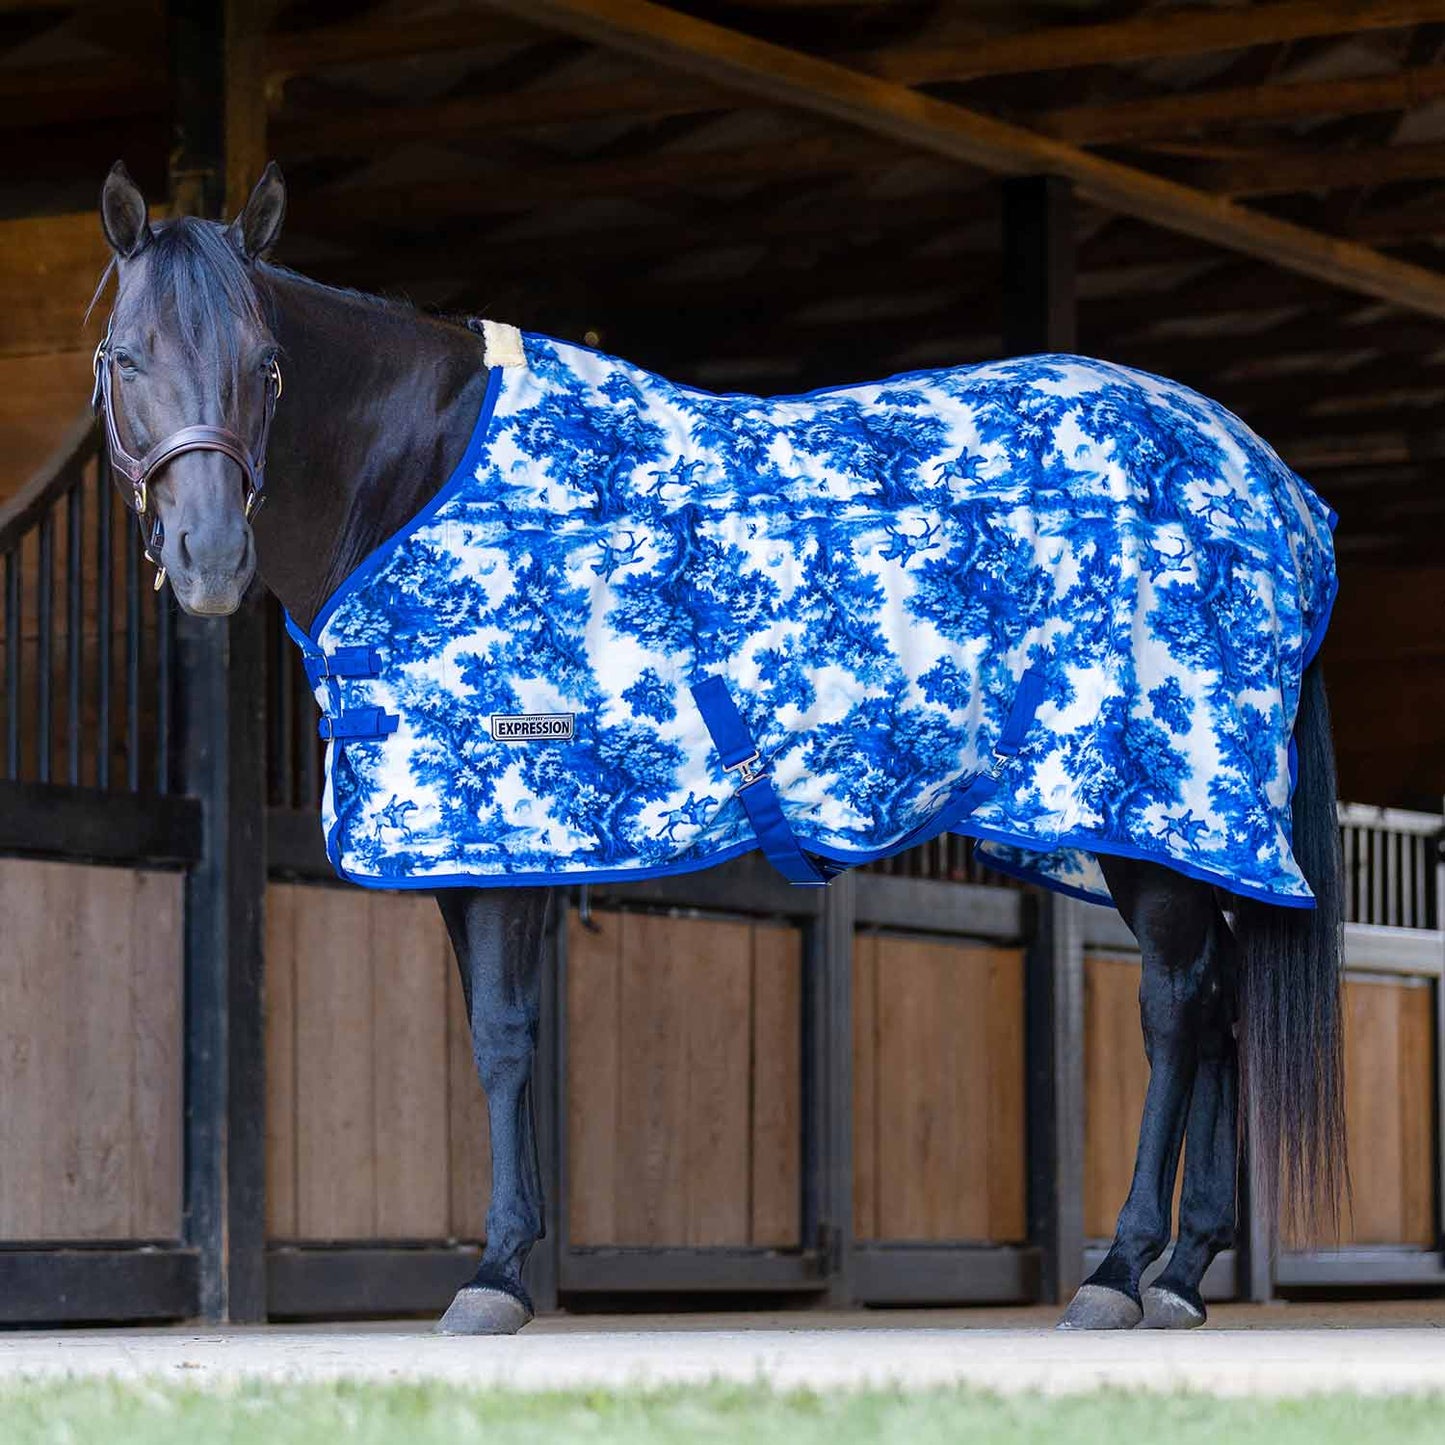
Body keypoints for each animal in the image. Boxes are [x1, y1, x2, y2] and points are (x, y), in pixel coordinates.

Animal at [92, 159, 1345, 1333]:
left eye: (267, 364)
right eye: (123, 357)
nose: (210, 558)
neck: (424, 472)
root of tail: (1274, 490)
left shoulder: (510, 835)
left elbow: (501, 1037)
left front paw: (495, 1275)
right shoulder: (469, 847)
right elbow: (489, 1034)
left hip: (1143, 810)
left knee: (1176, 1008)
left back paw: (1117, 1270)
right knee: (1219, 1000)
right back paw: (1180, 1272)